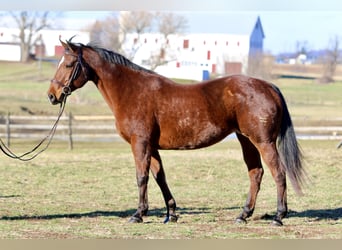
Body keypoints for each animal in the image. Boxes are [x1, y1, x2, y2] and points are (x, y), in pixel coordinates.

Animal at [46, 39, 306, 227]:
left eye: (68, 64)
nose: (52, 95)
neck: (132, 91)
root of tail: (268, 86)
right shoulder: (151, 147)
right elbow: (159, 177)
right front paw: (170, 213)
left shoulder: (140, 143)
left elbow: (141, 177)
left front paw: (138, 214)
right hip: (247, 140)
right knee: (256, 173)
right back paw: (243, 215)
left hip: (263, 141)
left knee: (278, 173)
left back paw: (279, 216)